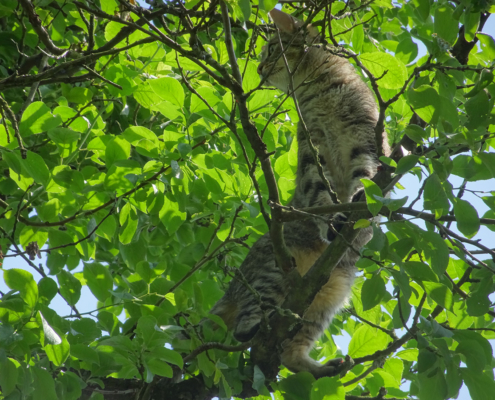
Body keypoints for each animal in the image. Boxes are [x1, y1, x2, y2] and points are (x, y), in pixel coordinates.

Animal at [209, 9, 392, 378]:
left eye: (269, 50)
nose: (259, 69)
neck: (319, 94)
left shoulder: (366, 140)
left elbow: (366, 177)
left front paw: (358, 204)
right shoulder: (312, 151)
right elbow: (320, 194)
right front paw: (332, 218)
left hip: (326, 301)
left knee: (290, 352)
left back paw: (325, 367)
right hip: (273, 270)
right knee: (251, 320)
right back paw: (254, 326)